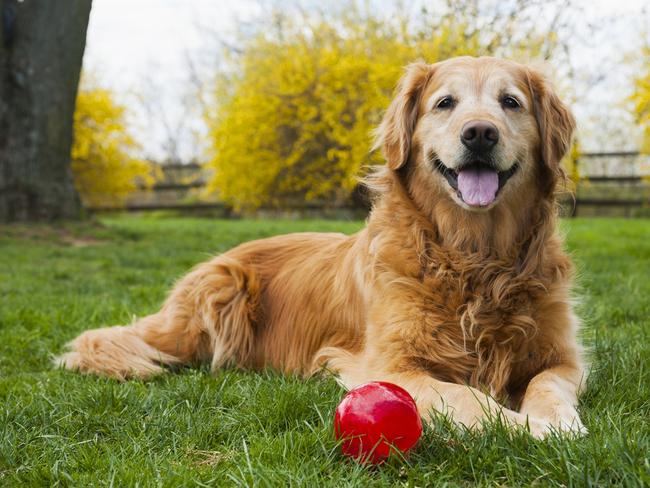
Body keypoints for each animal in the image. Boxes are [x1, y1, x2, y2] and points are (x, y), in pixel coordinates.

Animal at [59, 56, 588, 438]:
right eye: (445, 103)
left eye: (511, 102)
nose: (479, 133)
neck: (475, 257)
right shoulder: (388, 363)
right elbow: (466, 396)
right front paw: (527, 428)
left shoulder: (563, 356)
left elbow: (547, 385)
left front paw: (556, 422)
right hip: (216, 295)